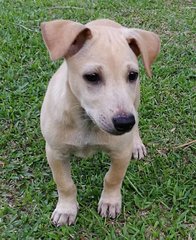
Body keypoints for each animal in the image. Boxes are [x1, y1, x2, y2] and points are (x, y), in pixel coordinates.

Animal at [40, 18, 161, 225]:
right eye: (92, 77)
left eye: (132, 75)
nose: (124, 123)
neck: (87, 122)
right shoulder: (55, 153)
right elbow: (65, 183)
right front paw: (66, 209)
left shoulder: (121, 152)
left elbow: (112, 178)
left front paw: (110, 202)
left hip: (134, 101)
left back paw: (136, 143)